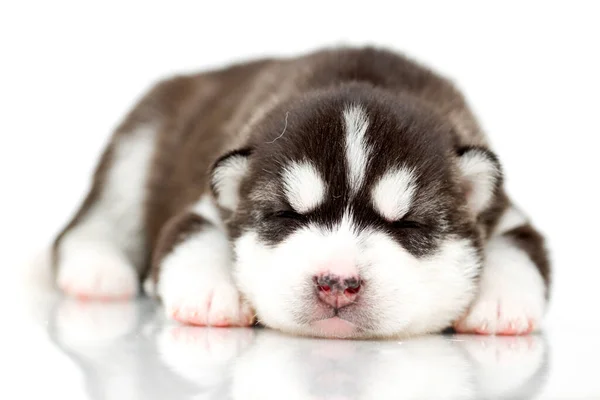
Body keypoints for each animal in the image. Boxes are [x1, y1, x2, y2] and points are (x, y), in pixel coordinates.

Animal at [51, 48, 548, 340]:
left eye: (407, 224)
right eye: (287, 216)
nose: (338, 284)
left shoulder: (503, 210)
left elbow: (519, 248)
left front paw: (500, 302)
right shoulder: (209, 201)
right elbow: (190, 234)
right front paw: (211, 293)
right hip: (139, 141)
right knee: (92, 221)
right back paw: (97, 271)